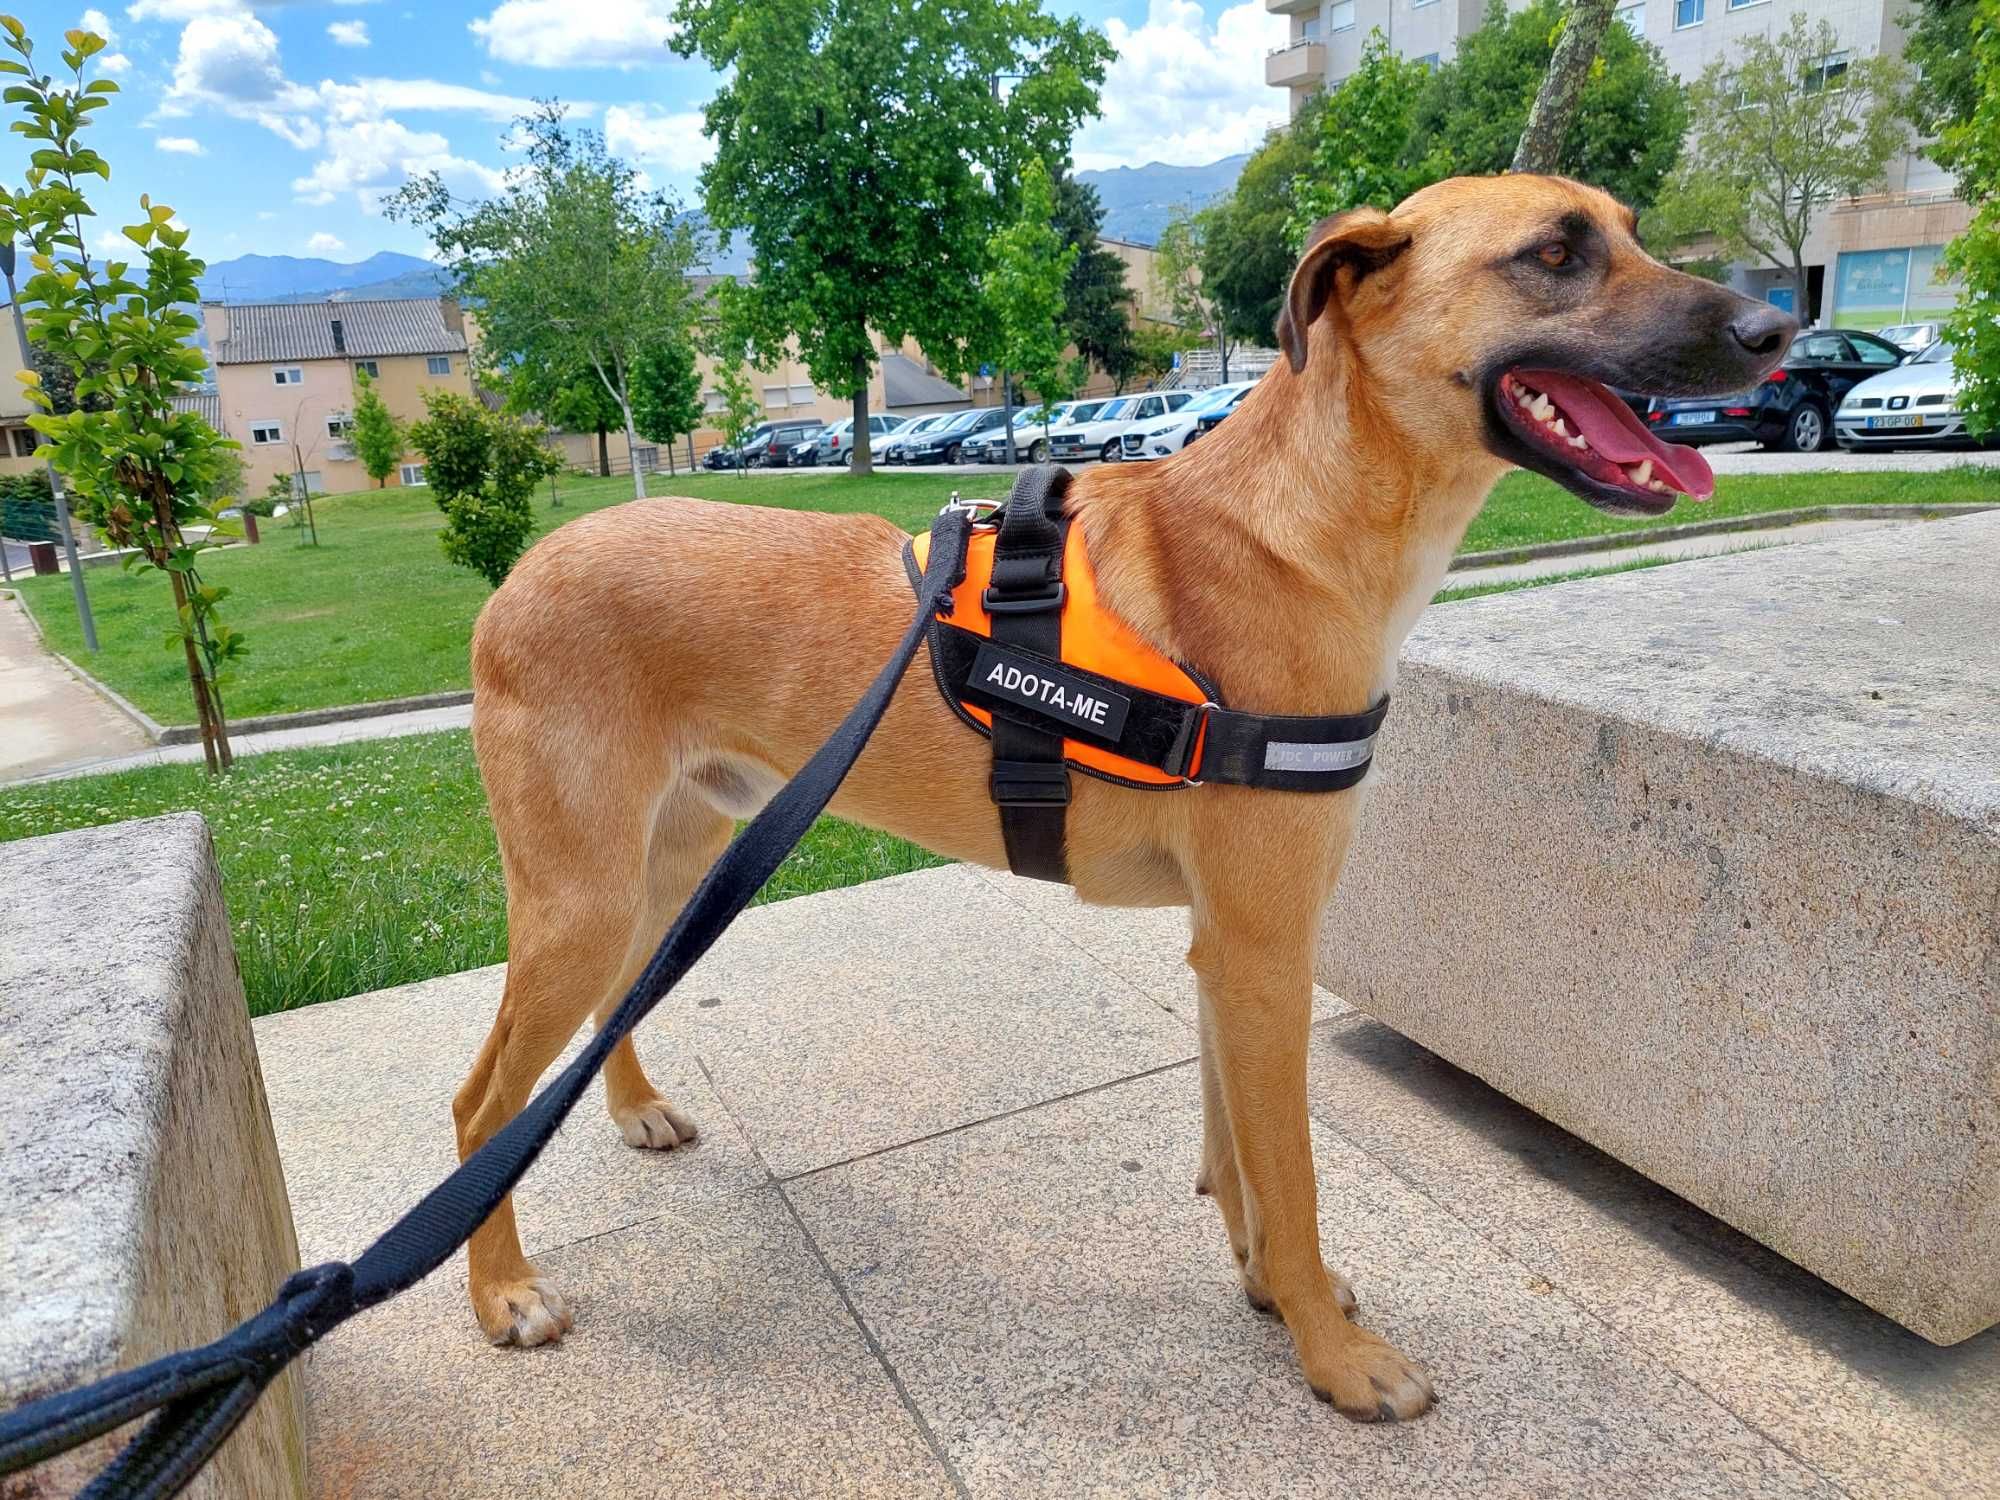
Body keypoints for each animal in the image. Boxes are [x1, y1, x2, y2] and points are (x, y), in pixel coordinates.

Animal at [458, 176, 1800, 1424]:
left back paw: (633, 1115)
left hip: (672, 860)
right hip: (579, 897)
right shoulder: (1263, 950)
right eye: (1554, 255)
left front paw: (1266, 1291)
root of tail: (523, 566)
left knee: (611, 1008)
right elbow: (1291, 1175)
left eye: (1627, 233)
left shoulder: (1224, 949)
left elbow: (1235, 1155)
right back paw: (498, 1293)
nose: (1775, 330)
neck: (1311, 524)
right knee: (482, 1108)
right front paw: (1332, 1357)